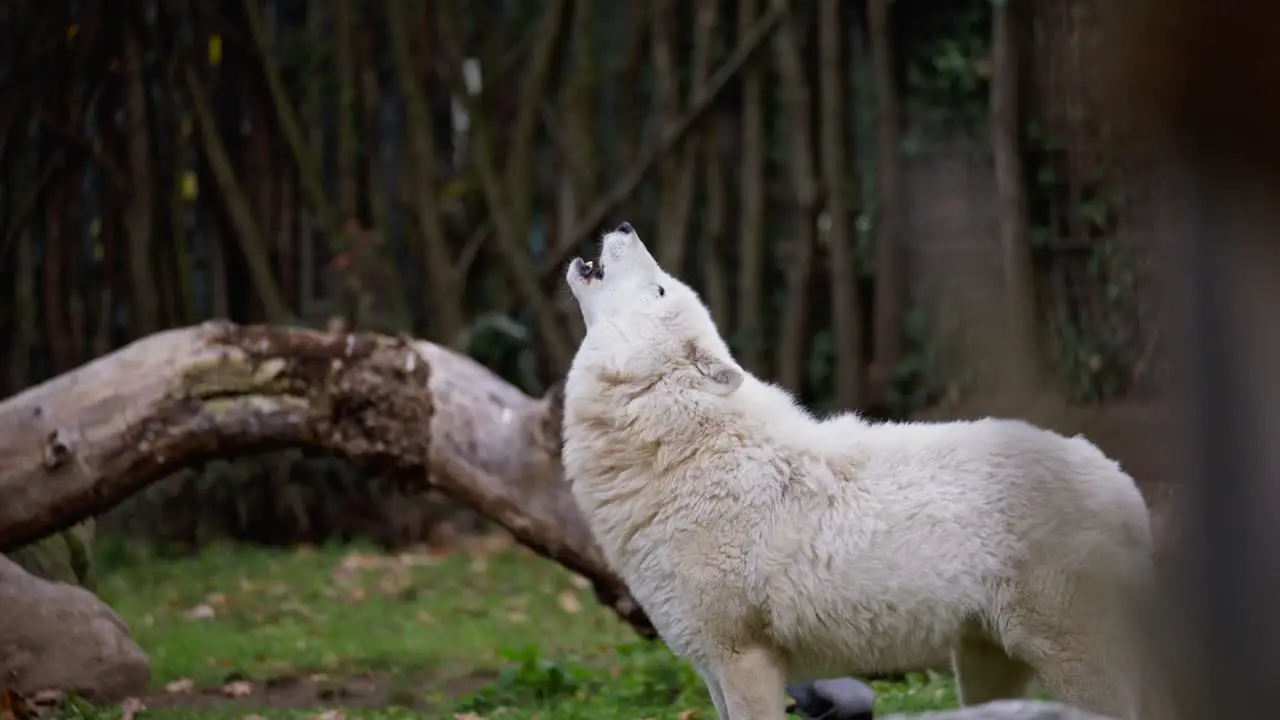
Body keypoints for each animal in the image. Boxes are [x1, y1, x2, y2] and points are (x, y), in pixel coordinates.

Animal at [558, 224, 1152, 717]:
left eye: (660, 289)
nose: (626, 225)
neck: (681, 444)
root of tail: (1124, 484)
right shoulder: (711, 669)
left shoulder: (743, 660)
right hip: (984, 666)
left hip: (1067, 663)